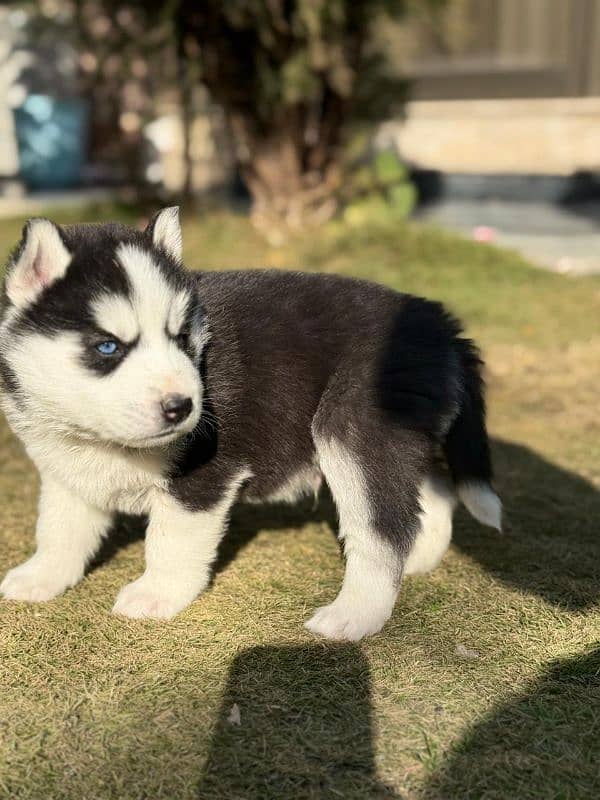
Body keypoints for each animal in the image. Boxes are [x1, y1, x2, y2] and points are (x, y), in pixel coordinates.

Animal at [0, 209, 500, 640]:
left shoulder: (201, 477)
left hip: (353, 430)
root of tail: (441, 324)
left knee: (382, 531)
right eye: (108, 347)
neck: (99, 436)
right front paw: (40, 576)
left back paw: (354, 615)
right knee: (433, 493)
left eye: (181, 337)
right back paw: (419, 558)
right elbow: (59, 529)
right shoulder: (67, 470)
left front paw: (156, 594)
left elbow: (169, 540)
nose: (181, 407)